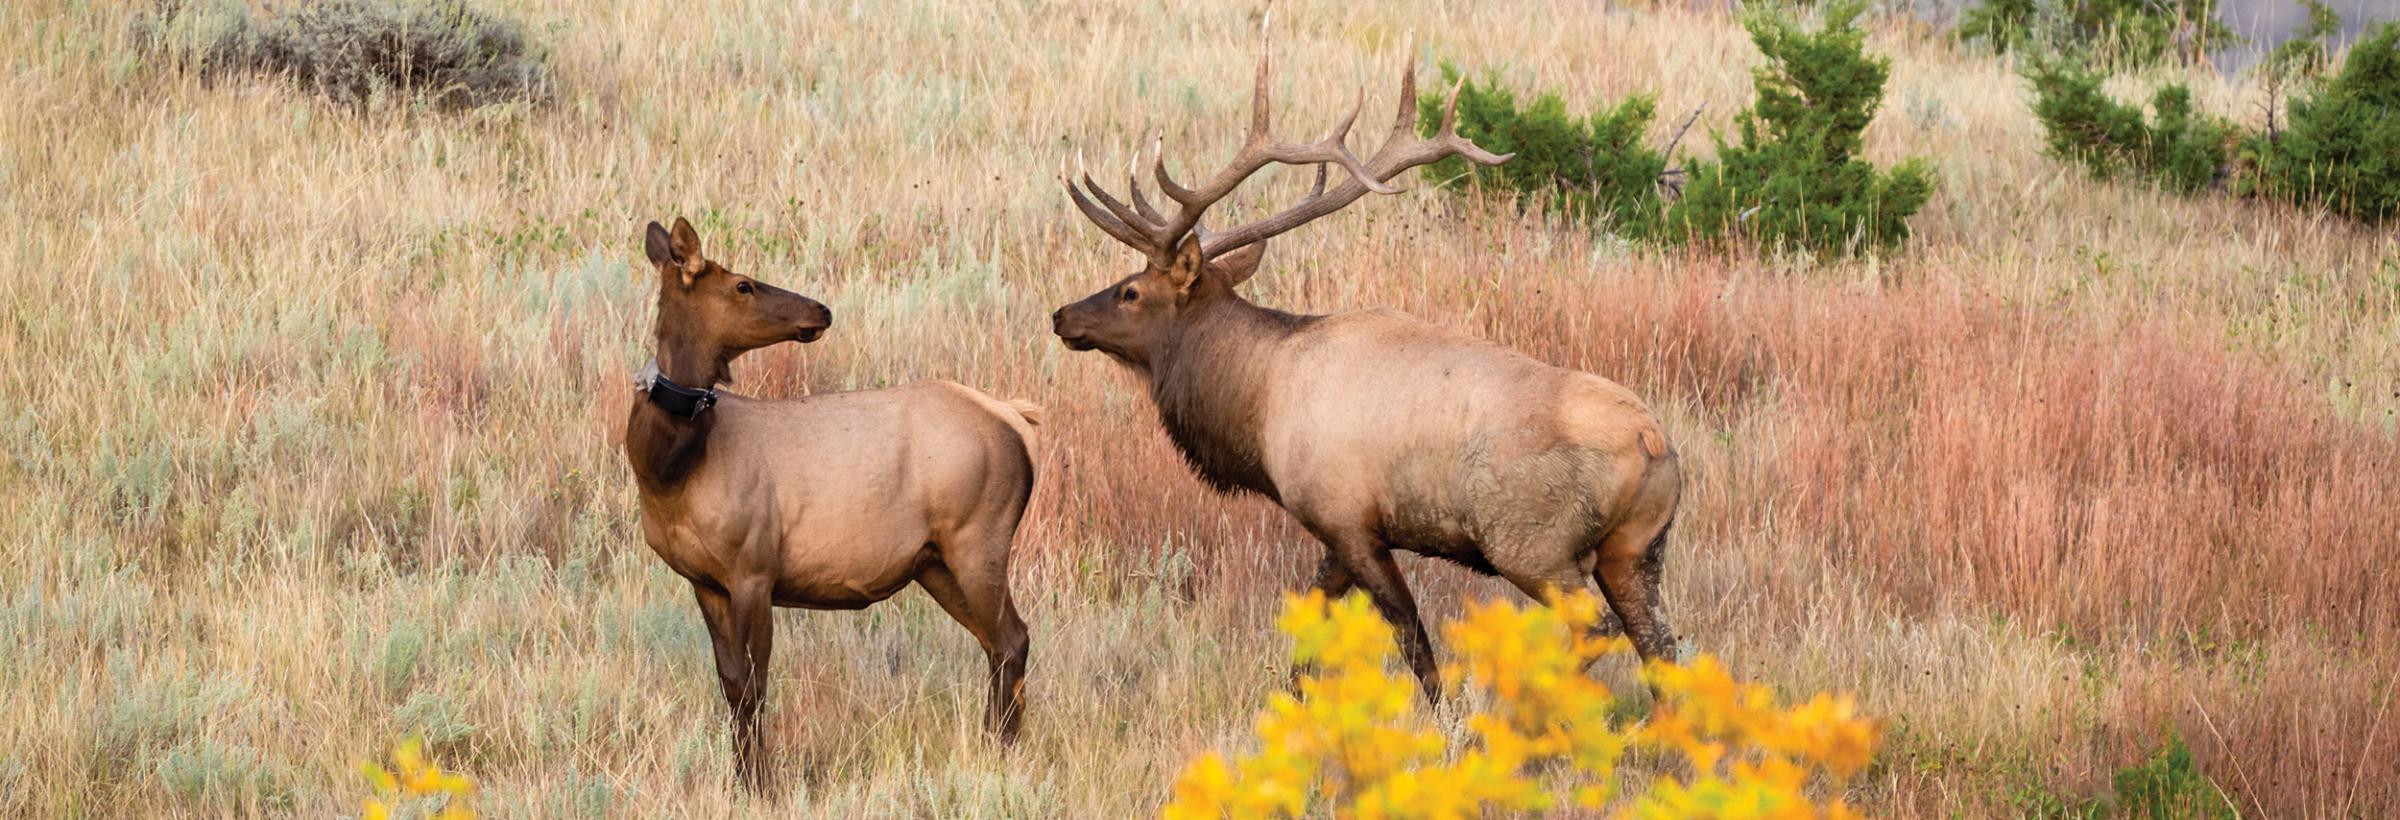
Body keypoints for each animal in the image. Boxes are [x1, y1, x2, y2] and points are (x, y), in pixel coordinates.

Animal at [624, 215, 1036, 786]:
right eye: (743, 285)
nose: (820, 309)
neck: (669, 472)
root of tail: (1019, 421)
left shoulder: (755, 566)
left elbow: (753, 685)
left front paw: (760, 784)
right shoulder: (704, 579)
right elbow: (730, 683)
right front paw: (740, 777)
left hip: (980, 537)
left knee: (1013, 637)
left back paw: (1001, 751)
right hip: (935, 563)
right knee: (996, 643)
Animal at [1051, 35, 1689, 695]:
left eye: (1130, 291)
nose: (1062, 315)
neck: (1257, 406)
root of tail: (1653, 444)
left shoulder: (1348, 517)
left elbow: (1411, 638)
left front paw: (1440, 708)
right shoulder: (1338, 533)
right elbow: (1311, 626)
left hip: (1532, 542)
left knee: (1597, 629)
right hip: (1637, 549)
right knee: (1661, 646)